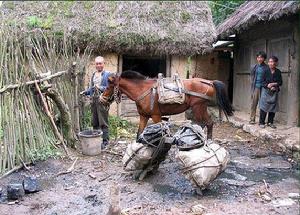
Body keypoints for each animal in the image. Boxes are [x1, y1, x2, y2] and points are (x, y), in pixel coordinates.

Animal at [99, 71, 233, 139]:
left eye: (109, 86)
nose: (101, 100)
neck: (143, 90)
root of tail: (209, 82)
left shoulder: (156, 116)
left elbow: (162, 134)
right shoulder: (144, 116)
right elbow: (139, 133)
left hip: (199, 107)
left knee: (209, 123)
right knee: (203, 123)